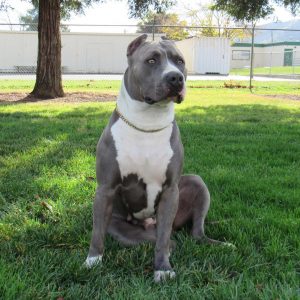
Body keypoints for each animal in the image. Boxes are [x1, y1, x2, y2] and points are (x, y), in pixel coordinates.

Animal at [84, 34, 223, 282]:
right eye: (151, 60)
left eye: (180, 61)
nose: (175, 77)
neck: (148, 123)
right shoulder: (105, 188)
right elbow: (97, 232)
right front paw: (92, 260)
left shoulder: (170, 191)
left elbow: (162, 240)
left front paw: (163, 269)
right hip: (124, 230)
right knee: (166, 241)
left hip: (196, 183)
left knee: (190, 233)